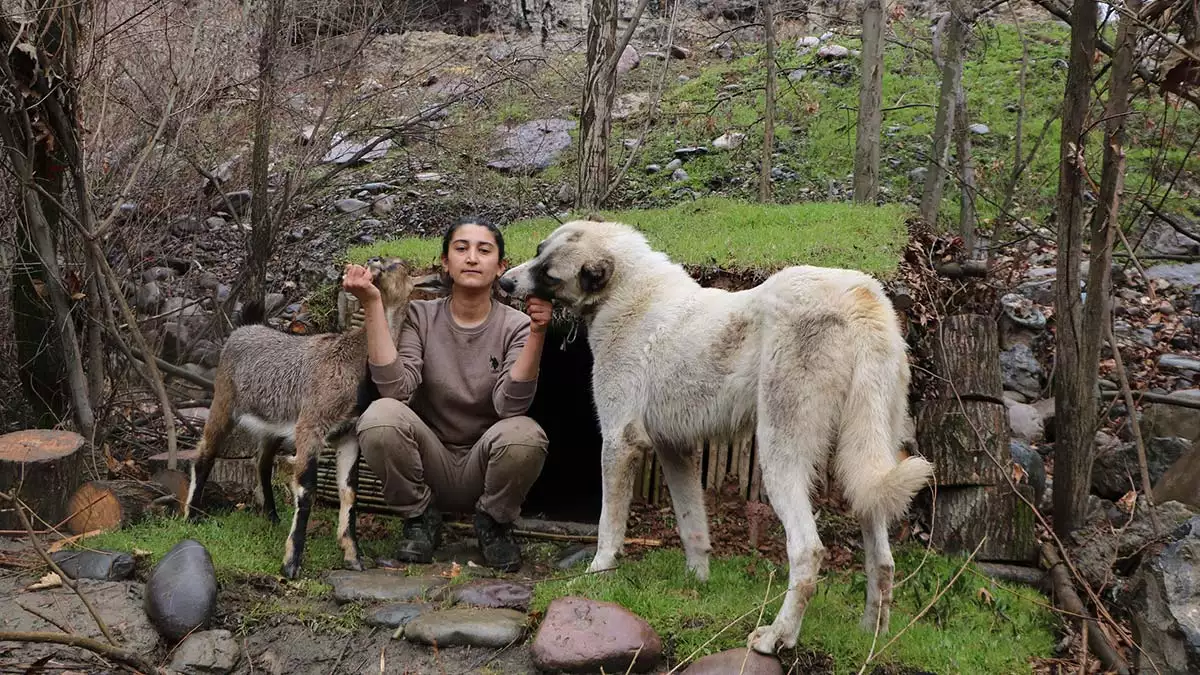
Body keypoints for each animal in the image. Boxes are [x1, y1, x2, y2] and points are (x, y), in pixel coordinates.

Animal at [501, 218, 931, 648]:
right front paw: (697, 585)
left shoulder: (619, 441)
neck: (625, 294)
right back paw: (871, 636)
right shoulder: (675, 448)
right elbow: (692, 524)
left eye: (549, 274)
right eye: (538, 251)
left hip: (779, 456)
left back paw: (778, 636)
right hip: (865, 459)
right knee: (882, 560)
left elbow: (609, 523)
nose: (504, 282)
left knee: (807, 551)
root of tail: (860, 297)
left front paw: (597, 573)